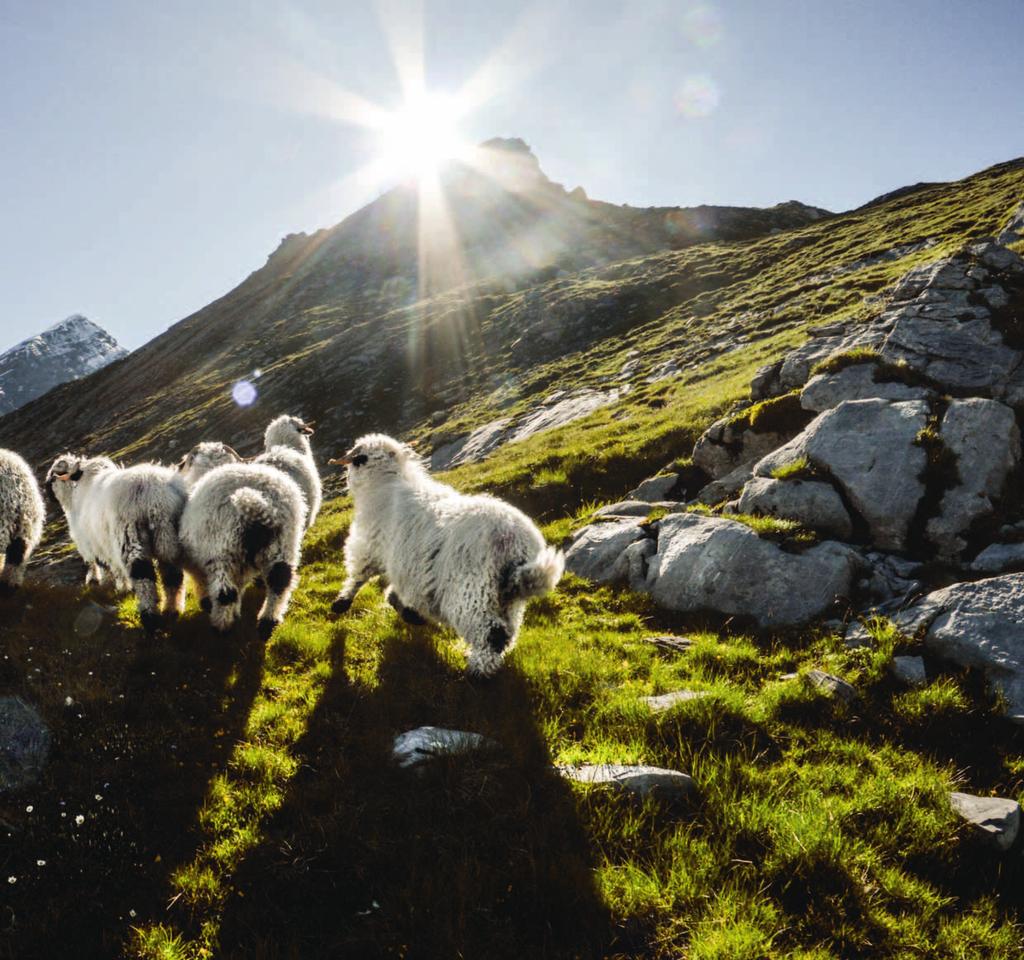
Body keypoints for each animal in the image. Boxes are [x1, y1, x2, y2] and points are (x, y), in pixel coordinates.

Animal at [44, 454, 190, 630]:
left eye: (53, 476)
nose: (46, 492)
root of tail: (154, 494)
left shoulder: (90, 542)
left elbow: (100, 565)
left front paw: (109, 584)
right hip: (166, 535)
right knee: (173, 574)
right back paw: (172, 610)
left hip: (130, 537)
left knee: (143, 577)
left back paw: (149, 617)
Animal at [176, 442, 305, 634]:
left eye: (185, 463)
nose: (178, 467)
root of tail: (258, 503)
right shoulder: (242, 566)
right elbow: (241, 586)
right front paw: (237, 611)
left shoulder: (197, 562)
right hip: (284, 543)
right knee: (280, 581)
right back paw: (268, 621)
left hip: (221, 550)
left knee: (225, 593)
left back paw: (221, 627)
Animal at [327, 433, 565, 675]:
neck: (385, 484)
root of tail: (514, 542)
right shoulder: (406, 565)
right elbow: (396, 591)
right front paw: (407, 611)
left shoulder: (369, 547)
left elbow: (359, 575)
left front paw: (341, 603)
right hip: (508, 599)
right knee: (507, 632)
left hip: (473, 589)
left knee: (491, 633)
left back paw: (478, 671)